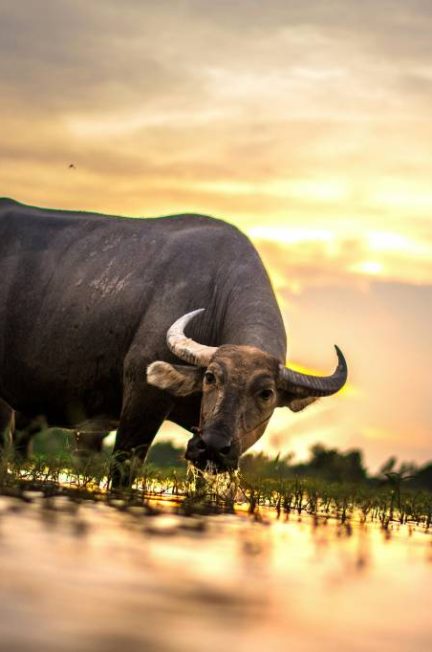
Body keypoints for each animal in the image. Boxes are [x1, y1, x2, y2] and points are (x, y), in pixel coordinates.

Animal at [0, 199, 346, 484]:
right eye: (210, 377)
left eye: (266, 393)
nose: (213, 446)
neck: (215, 294)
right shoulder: (142, 398)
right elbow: (123, 472)